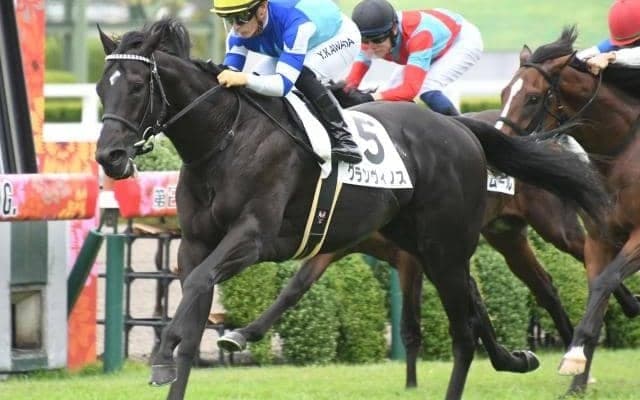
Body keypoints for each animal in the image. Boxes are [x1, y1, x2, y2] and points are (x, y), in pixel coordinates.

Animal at [94, 20, 608, 400]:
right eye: (102, 88)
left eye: (137, 86)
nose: (109, 157)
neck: (226, 138)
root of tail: (462, 128)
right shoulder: (197, 244)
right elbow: (195, 303)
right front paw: (174, 357)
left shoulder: (254, 237)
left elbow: (202, 290)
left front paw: (163, 353)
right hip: (429, 243)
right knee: (477, 306)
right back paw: (518, 358)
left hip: (449, 244)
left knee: (467, 332)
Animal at [496, 26, 640, 395]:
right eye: (503, 93)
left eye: (533, 98)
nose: (498, 148)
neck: (622, 153)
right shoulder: (599, 238)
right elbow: (596, 292)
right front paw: (577, 380)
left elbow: (605, 283)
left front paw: (574, 358)